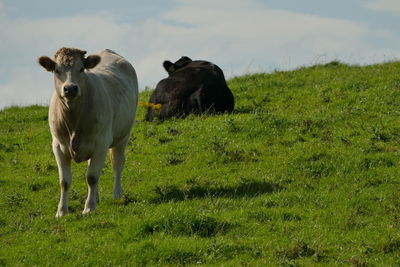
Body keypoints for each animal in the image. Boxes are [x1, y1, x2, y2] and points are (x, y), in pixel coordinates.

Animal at [38, 47, 138, 218]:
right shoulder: (57, 146)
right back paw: (96, 197)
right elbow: (64, 181)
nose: (70, 88)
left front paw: (89, 207)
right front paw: (61, 211)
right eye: (57, 70)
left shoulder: (101, 142)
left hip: (123, 135)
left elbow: (91, 177)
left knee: (117, 163)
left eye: (81, 69)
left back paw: (117, 194)